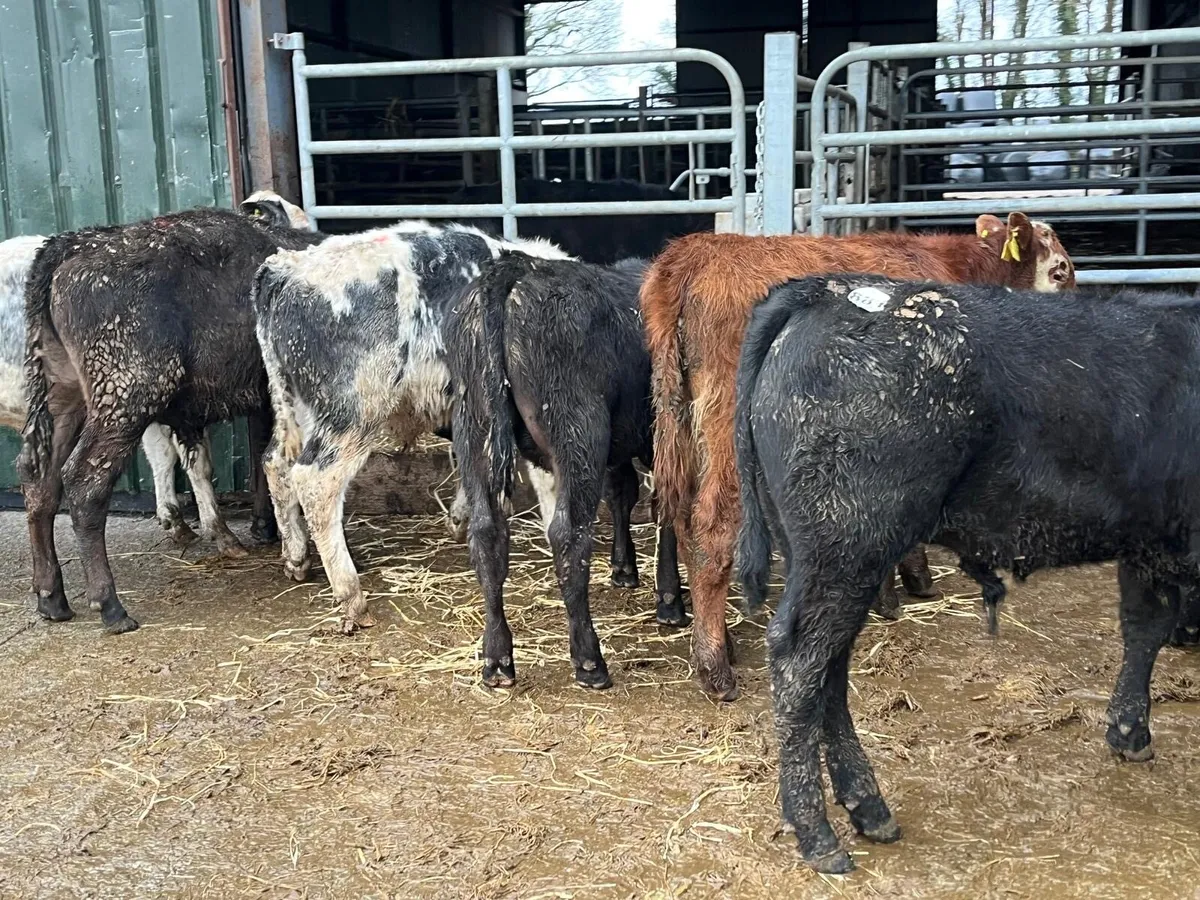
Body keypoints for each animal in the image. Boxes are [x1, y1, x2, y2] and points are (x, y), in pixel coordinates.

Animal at [19, 206, 324, 633]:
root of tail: (72, 245)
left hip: (63, 395)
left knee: (40, 481)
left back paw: (51, 597)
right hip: (127, 395)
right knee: (83, 482)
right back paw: (109, 605)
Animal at [253, 222, 571, 633]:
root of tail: (285, 269)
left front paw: (461, 518)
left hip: (295, 406)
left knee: (276, 463)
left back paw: (295, 556)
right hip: (352, 414)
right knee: (314, 481)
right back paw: (351, 595)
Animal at [444, 251, 685, 689]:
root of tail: (516, 269)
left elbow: (623, 492)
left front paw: (624, 568)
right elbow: (663, 507)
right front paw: (670, 600)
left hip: (474, 431)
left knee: (487, 533)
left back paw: (497, 659)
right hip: (579, 430)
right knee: (569, 534)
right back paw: (589, 661)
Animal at [641, 212, 1076, 700]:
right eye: (1060, 271)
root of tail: (694, 253)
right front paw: (908, 584)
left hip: (680, 424)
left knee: (678, 517)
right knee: (709, 528)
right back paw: (715, 665)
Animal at [734, 274, 1200, 873]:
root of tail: (824, 290)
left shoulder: (1146, 541)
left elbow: (1143, 628)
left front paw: (1129, 731)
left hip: (823, 557)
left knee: (828, 668)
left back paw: (869, 810)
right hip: (846, 548)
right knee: (800, 663)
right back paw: (818, 836)